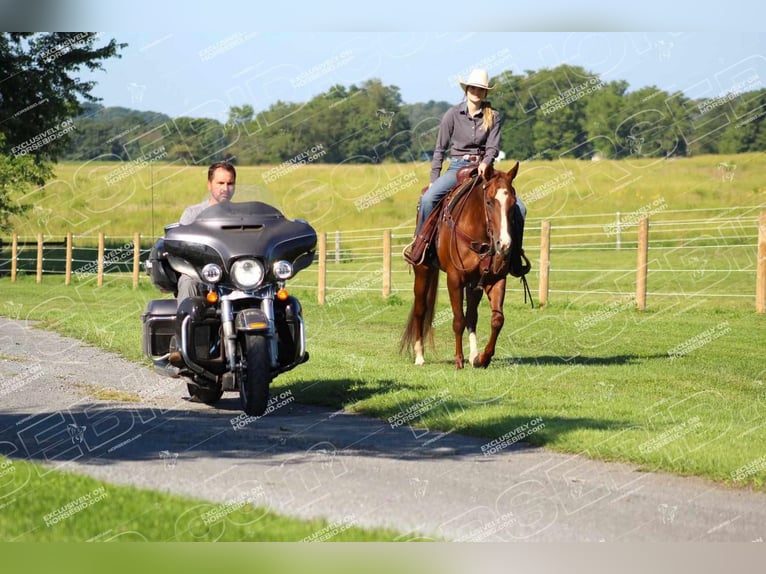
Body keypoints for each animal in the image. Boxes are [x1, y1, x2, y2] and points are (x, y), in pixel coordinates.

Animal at [402, 162, 520, 368]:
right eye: (489, 202)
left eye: (513, 203)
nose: (504, 245)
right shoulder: (454, 279)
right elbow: (458, 320)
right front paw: (459, 360)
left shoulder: (495, 279)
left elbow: (496, 319)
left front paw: (482, 358)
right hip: (423, 270)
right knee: (420, 309)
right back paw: (419, 356)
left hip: (473, 284)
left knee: (471, 316)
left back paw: (473, 355)